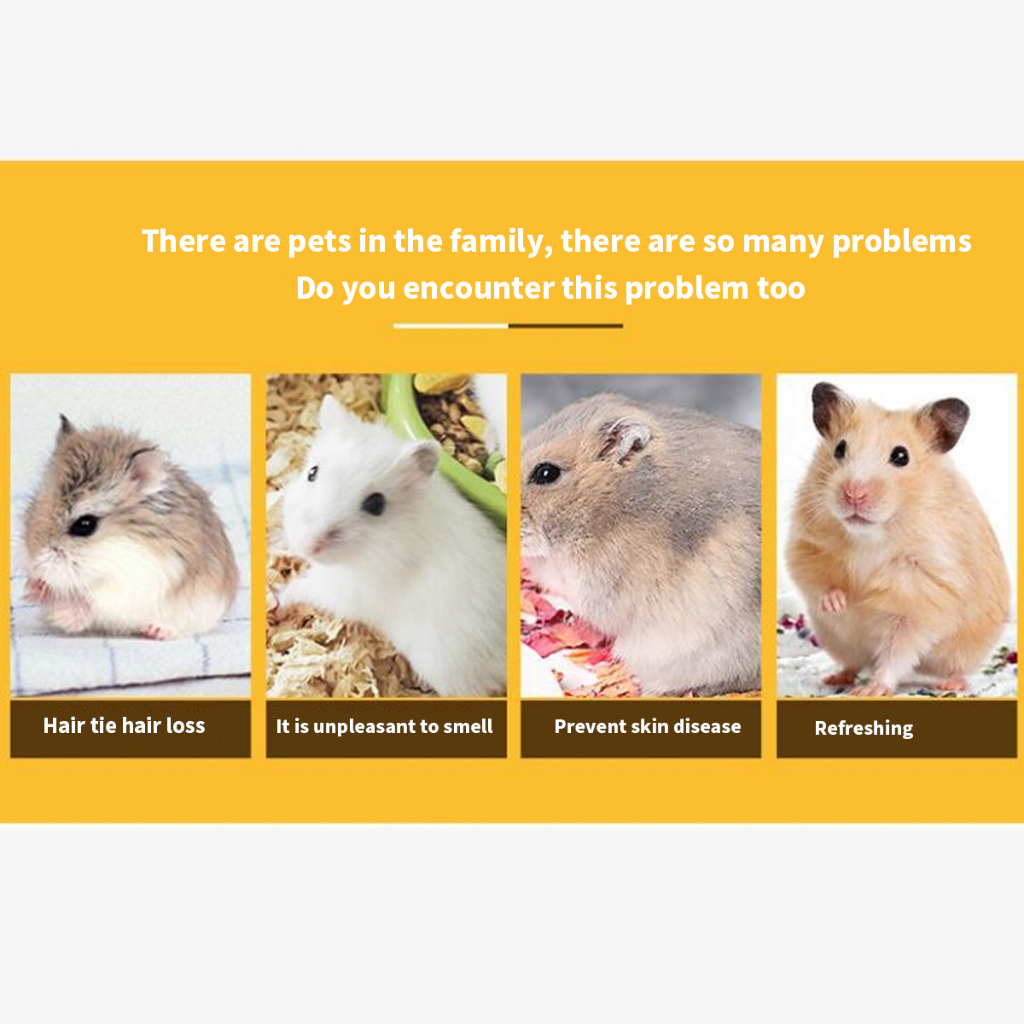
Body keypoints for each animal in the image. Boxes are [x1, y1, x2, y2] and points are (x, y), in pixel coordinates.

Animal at [23, 416, 239, 639]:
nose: (33, 566)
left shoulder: (138, 580)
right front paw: (33, 588)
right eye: (36, 505)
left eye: (85, 525)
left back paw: (155, 631)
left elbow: (96, 602)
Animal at [279, 395, 506, 697]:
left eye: (376, 504)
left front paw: (279, 598)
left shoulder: (349, 590)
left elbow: (308, 587)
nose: (308, 546)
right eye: (312, 472)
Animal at [786, 382, 1010, 696]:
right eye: (840, 448)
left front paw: (872, 690)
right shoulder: (806, 545)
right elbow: (818, 580)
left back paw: (949, 684)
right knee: (853, 663)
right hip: (837, 641)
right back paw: (835, 678)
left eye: (901, 456)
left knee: (955, 667)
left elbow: (897, 650)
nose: (853, 494)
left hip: (966, 648)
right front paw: (839, 603)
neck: (870, 535)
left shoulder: (923, 597)